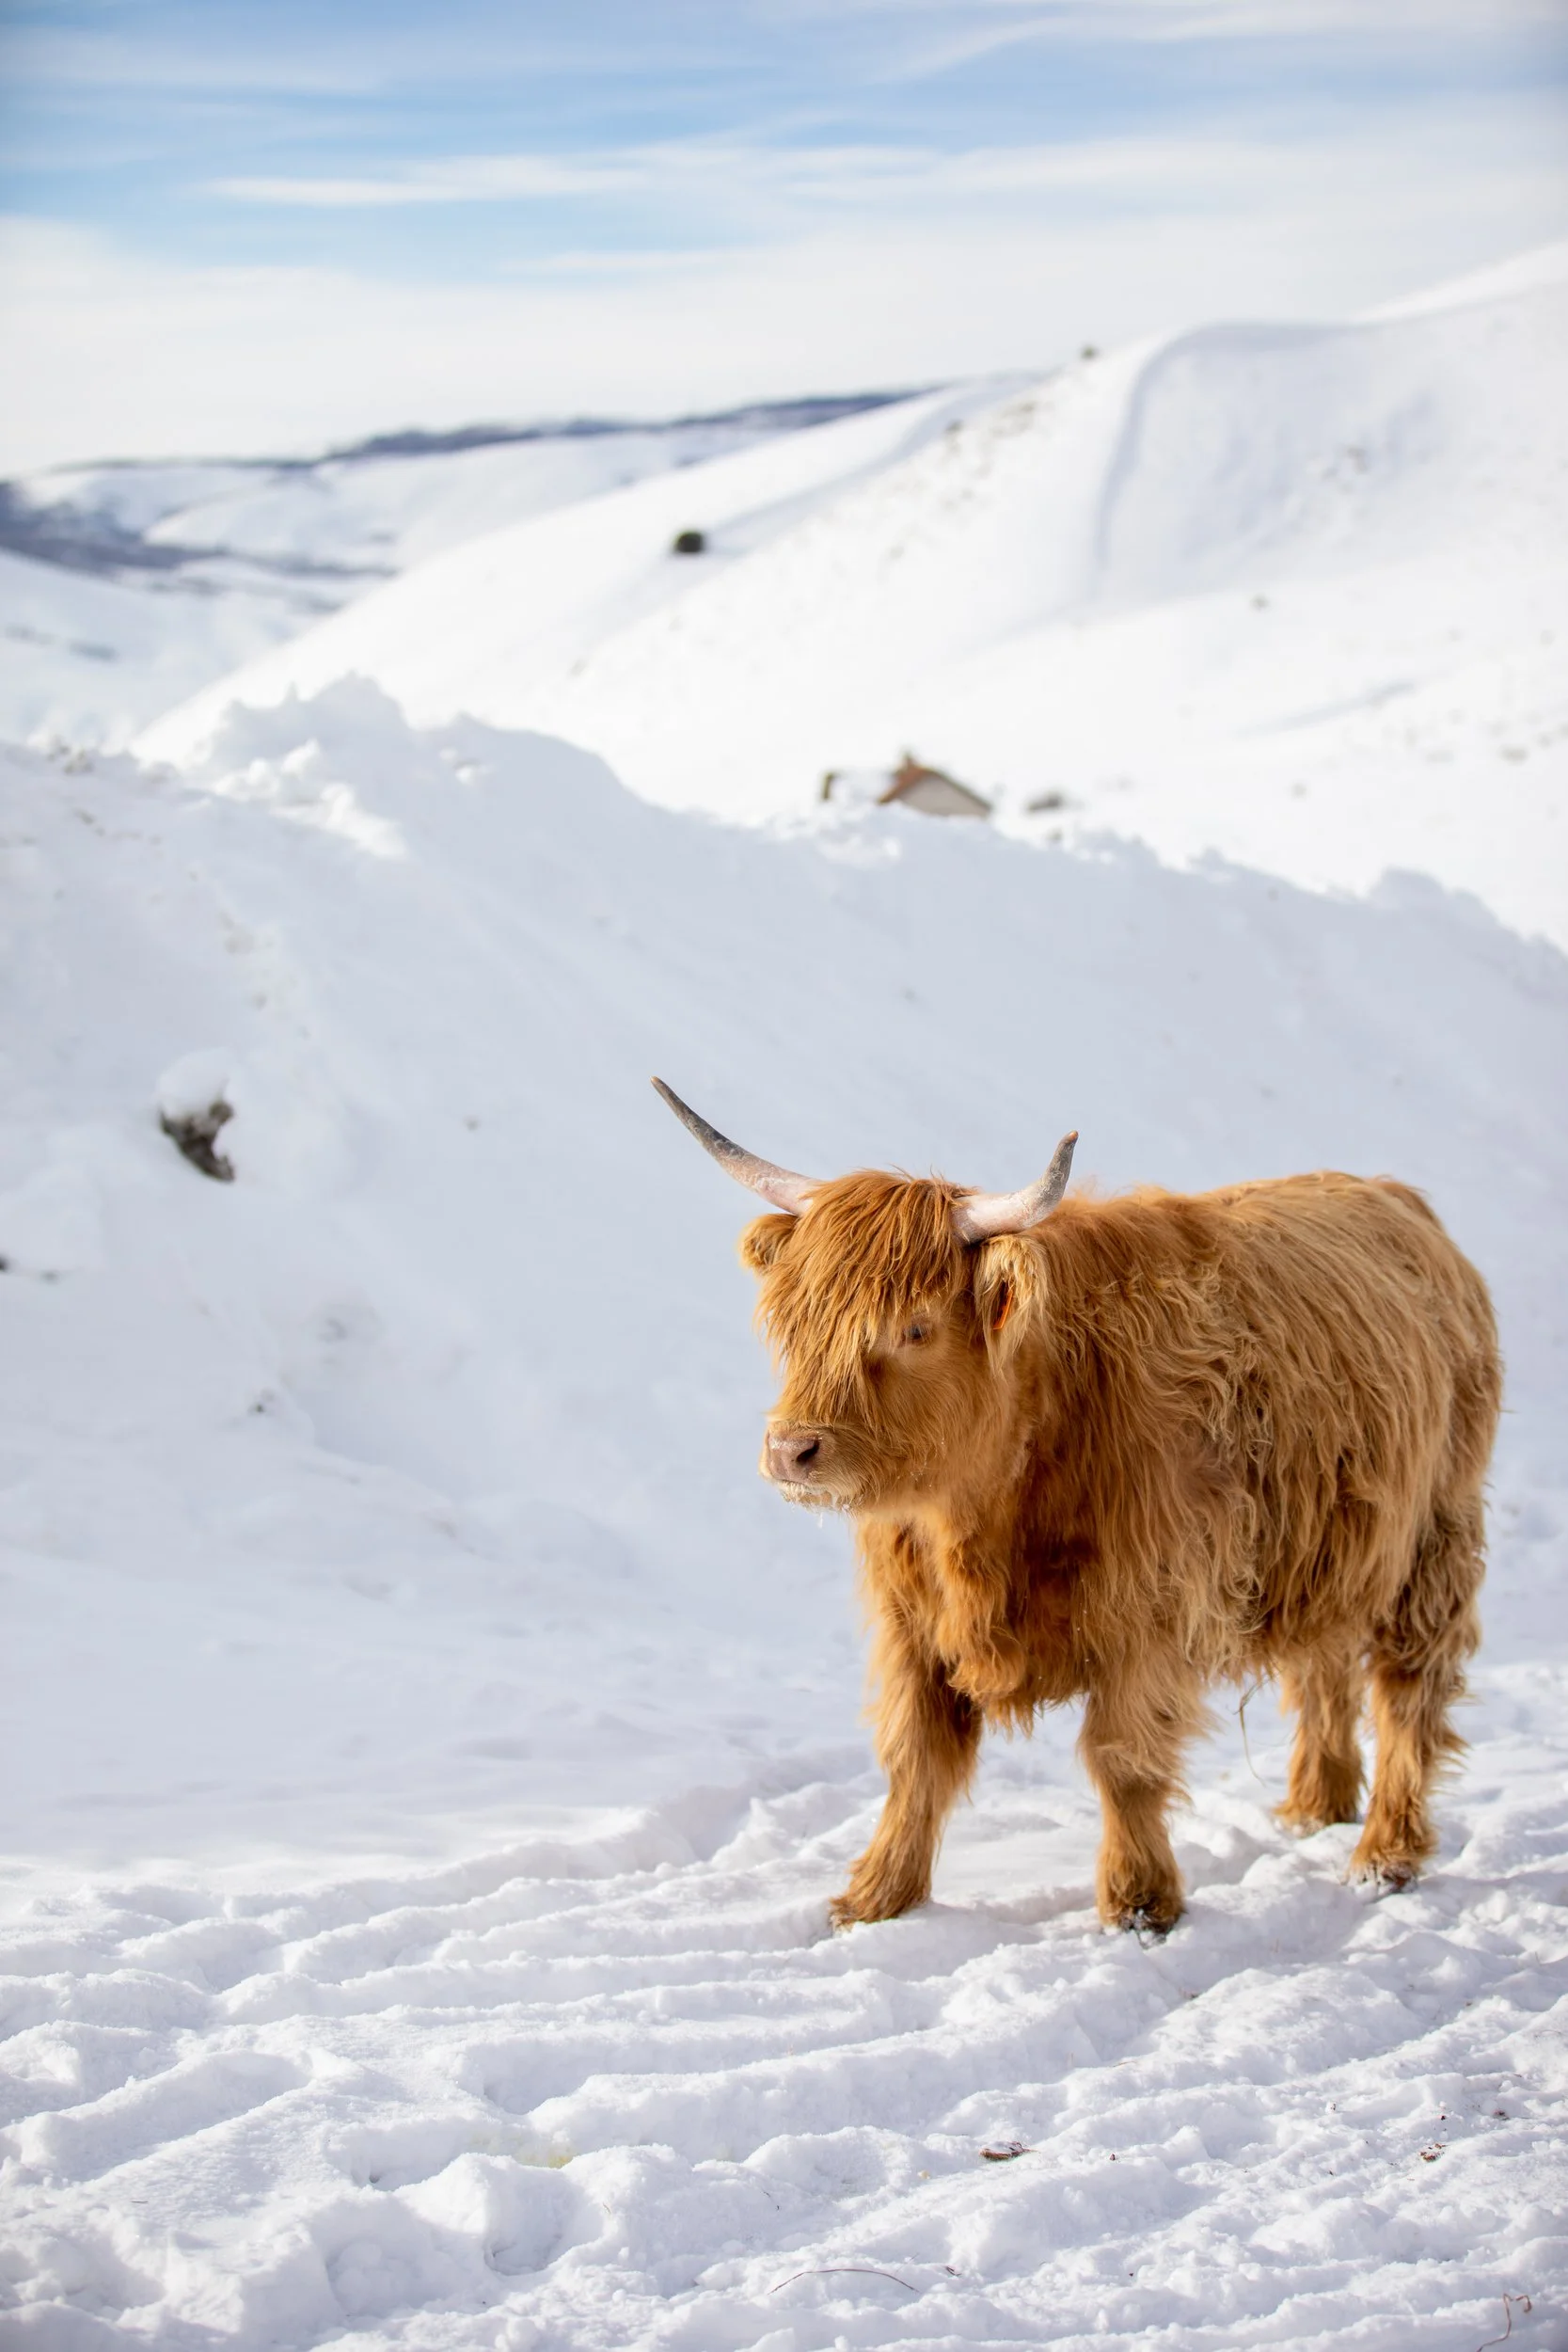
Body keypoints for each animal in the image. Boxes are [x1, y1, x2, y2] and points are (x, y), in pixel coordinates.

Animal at [654, 1079, 1502, 1935]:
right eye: (795, 1320)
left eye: (914, 1327)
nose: (791, 1449)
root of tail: (1400, 1202)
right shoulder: (911, 1620)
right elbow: (914, 1758)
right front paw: (875, 1899)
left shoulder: (1150, 1613)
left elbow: (1120, 1758)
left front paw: (1137, 1905)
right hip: (1330, 1545)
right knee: (1322, 1665)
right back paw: (1311, 1808)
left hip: (1433, 1539)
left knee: (1407, 1689)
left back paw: (1384, 1854)